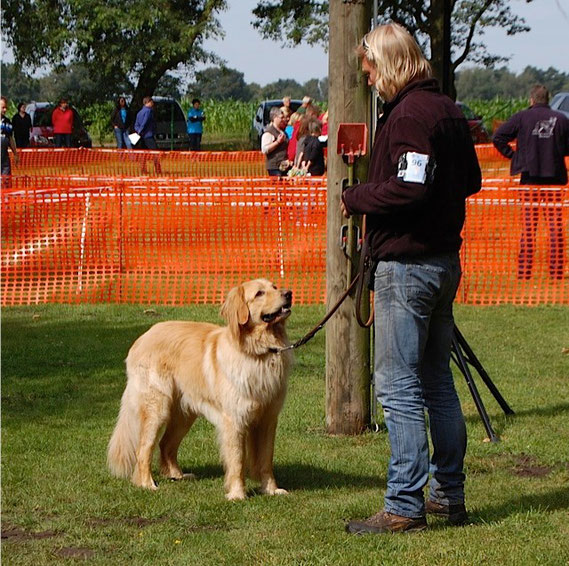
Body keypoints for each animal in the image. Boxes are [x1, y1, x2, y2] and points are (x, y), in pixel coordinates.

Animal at [107, 280, 292, 502]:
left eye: (275, 287)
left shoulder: (268, 419)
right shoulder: (234, 420)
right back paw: (147, 484)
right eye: (259, 293)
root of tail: (142, 337)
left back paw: (177, 475)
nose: (289, 293)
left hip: (184, 414)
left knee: (165, 444)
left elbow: (266, 459)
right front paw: (237, 494)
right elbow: (237, 460)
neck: (259, 352)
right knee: (143, 449)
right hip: (157, 408)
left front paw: (271, 490)